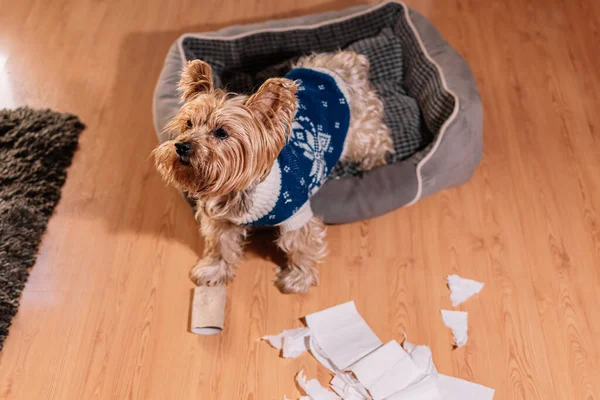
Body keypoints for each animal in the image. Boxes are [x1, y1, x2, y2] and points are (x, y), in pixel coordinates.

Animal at [152, 50, 392, 294]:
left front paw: (298, 279)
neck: (239, 189)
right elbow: (219, 243)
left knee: (378, 139)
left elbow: (300, 244)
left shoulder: (296, 212)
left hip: (358, 131)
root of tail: (345, 61)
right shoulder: (220, 218)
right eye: (189, 124)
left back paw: (375, 163)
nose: (181, 146)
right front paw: (214, 271)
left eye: (221, 132)